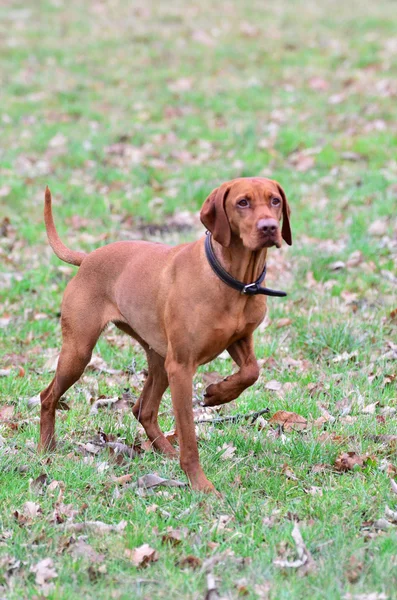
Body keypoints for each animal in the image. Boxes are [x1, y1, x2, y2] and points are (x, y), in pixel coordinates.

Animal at [38, 179, 290, 492]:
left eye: (275, 200)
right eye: (242, 203)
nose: (269, 227)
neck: (233, 279)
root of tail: (87, 258)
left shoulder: (238, 339)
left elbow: (252, 371)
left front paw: (218, 394)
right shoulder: (181, 367)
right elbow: (189, 435)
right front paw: (200, 485)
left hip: (158, 357)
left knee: (142, 409)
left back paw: (166, 451)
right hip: (79, 351)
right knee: (47, 396)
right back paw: (45, 449)